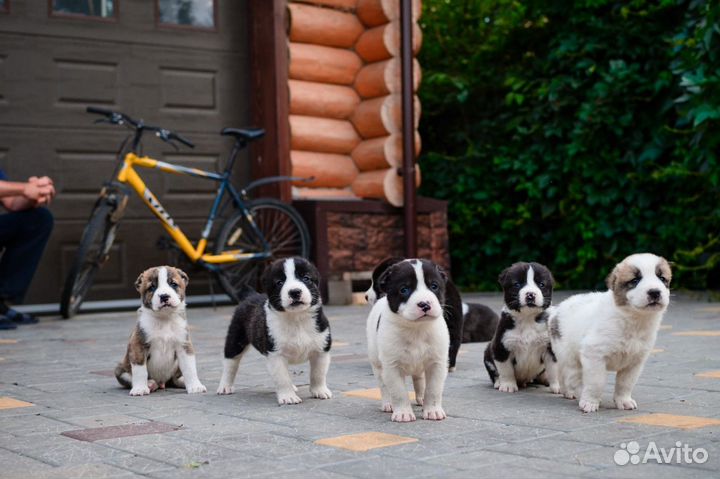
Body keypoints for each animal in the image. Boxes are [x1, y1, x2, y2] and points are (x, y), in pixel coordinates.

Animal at [114, 266, 207, 398]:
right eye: (152, 287)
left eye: (173, 284)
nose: (164, 296)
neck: (164, 318)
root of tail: (162, 383)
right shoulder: (138, 345)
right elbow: (140, 370)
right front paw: (140, 388)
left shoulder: (184, 345)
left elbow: (189, 368)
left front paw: (195, 386)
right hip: (120, 369)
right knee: (130, 377)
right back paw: (150, 384)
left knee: (175, 379)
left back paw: (182, 381)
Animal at [218, 258, 334, 404]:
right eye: (279, 282)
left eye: (306, 278)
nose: (295, 292)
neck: (296, 319)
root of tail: (250, 295)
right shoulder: (275, 354)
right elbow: (282, 377)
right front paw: (288, 396)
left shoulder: (321, 350)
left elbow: (318, 374)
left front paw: (320, 391)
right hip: (236, 338)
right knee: (230, 363)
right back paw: (225, 386)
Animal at [366, 260, 450, 422]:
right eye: (404, 290)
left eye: (434, 286)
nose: (424, 304)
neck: (416, 329)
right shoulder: (392, 365)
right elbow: (398, 392)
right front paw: (403, 413)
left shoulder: (437, 363)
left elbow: (433, 389)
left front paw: (433, 410)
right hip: (377, 362)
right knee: (383, 385)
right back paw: (388, 404)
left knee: (419, 379)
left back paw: (421, 398)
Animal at [480, 262, 560, 394]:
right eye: (517, 284)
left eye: (541, 284)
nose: (530, 294)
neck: (527, 318)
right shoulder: (501, 346)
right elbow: (506, 370)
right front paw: (508, 385)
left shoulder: (549, 348)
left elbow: (554, 370)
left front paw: (557, 386)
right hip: (488, 353)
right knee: (495, 374)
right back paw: (498, 382)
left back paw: (545, 380)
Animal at [552, 253, 676, 414]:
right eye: (635, 281)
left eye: (662, 278)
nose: (654, 292)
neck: (634, 320)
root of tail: (557, 309)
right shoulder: (594, 354)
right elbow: (596, 382)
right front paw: (590, 402)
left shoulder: (635, 361)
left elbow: (626, 383)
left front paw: (624, 401)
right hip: (568, 354)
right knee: (570, 374)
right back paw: (574, 392)